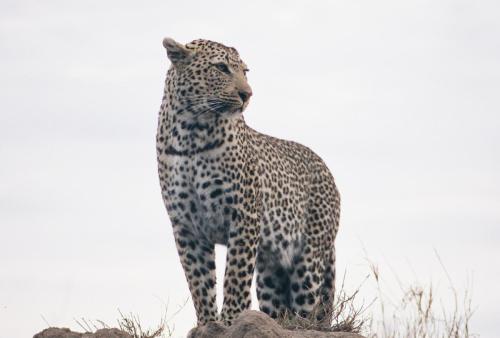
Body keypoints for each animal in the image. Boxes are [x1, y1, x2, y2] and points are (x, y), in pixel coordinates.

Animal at [156, 37, 342, 328]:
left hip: (309, 258)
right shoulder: (185, 225)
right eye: (221, 68)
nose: (247, 94)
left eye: (245, 71)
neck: (191, 131)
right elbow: (199, 282)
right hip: (271, 272)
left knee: (308, 310)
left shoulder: (244, 215)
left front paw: (231, 321)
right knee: (279, 306)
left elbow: (235, 277)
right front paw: (207, 324)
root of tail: (325, 168)